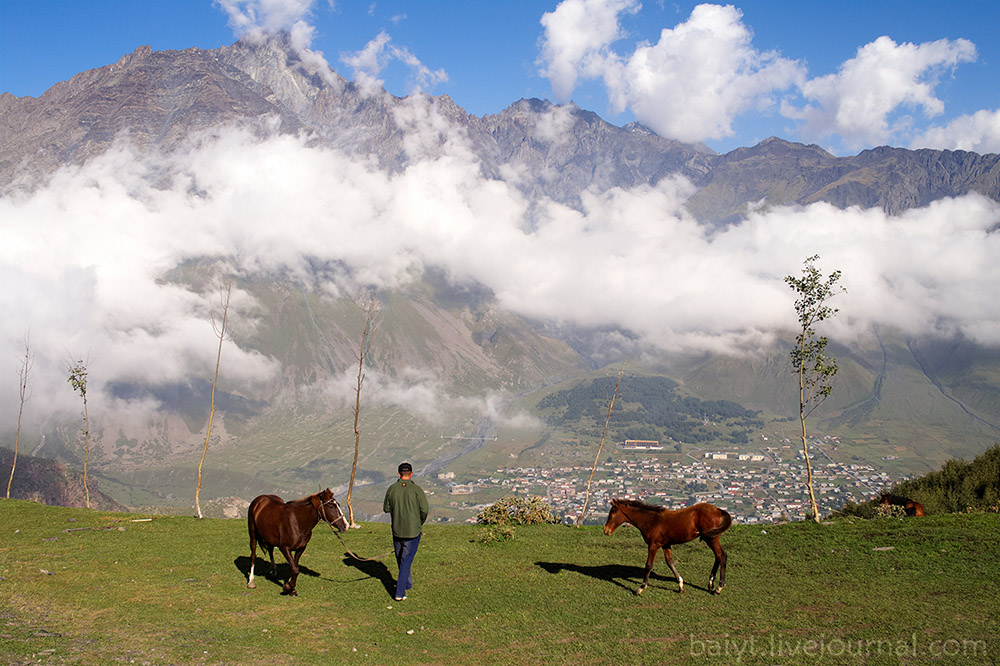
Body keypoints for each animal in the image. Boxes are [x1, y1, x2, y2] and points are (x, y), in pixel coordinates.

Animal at [600, 496, 736, 592]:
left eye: (612, 513)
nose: (606, 530)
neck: (651, 520)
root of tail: (719, 510)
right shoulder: (666, 544)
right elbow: (669, 562)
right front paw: (680, 585)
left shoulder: (653, 545)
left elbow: (649, 565)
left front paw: (641, 587)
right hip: (711, 538)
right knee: (718, 556)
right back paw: (711, 583)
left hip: (712, 538)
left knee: (721, 556)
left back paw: (719, 587)